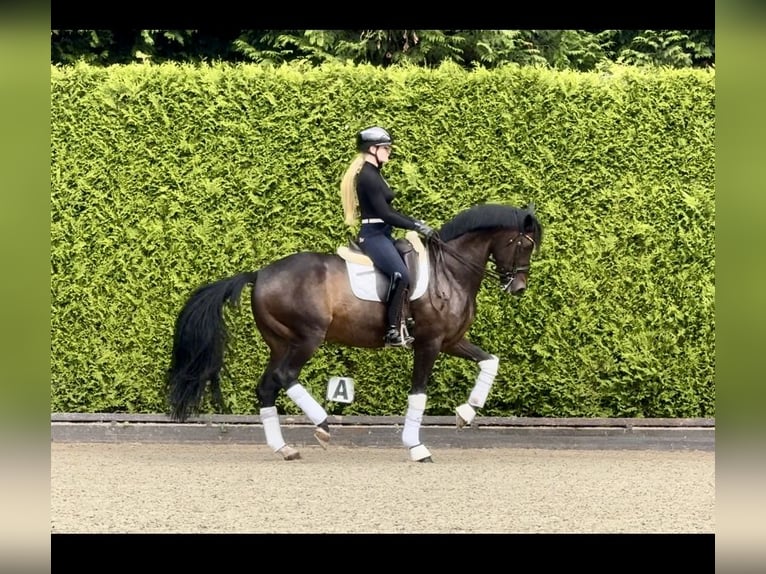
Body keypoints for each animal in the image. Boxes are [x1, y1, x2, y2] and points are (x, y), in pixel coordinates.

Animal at [165, 202, 544, 464]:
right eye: (524, 244)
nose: (519, 287)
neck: (449, 271)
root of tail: (259, 274)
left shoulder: (451, 341)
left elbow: (490, 361)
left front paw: (467, 412)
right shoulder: (430, 343)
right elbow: (418, 394)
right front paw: (417, 447)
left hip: (280, 342)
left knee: (267, 387)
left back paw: (285, 448)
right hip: (306, 338)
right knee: (286, 377)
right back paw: (322, 425)